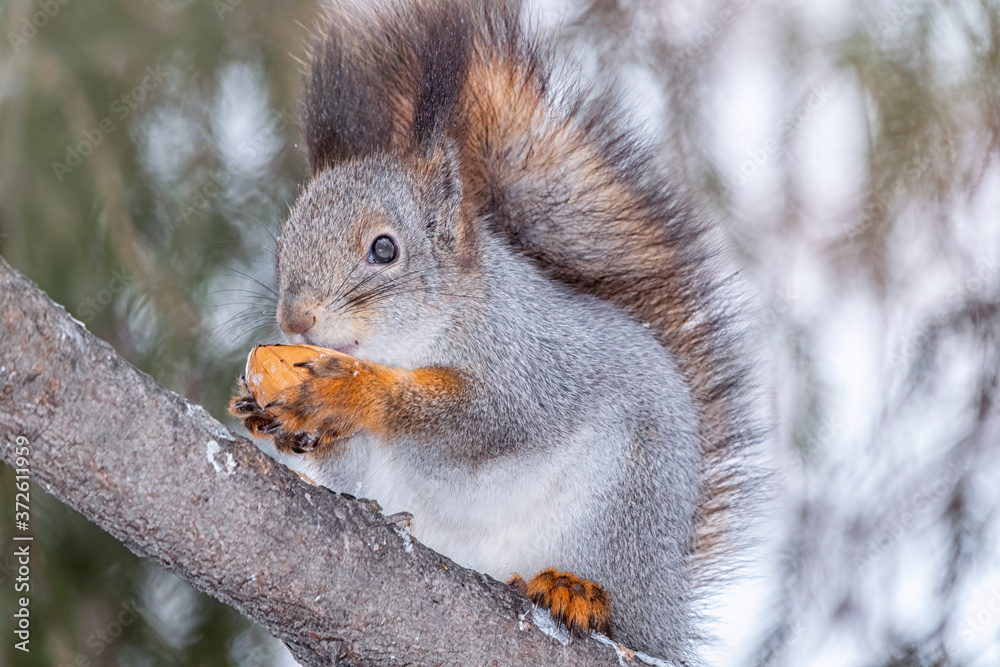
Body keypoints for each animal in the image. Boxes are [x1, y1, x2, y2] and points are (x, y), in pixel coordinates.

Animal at [229, 0, 764, 662]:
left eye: (385, 249)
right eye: (282, 243)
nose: (295, 319)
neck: (421, 335)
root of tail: (666, 609)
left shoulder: (527, 365)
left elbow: (482, 420)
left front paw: (350, 390)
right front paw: (265, 413)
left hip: (626, 507)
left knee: (616, 603)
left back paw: (576, 591)